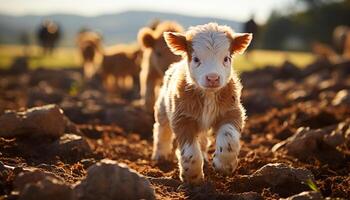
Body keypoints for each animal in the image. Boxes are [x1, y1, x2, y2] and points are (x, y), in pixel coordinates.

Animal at [152, 23, 252, 184]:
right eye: (196, 59)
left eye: (226, 58)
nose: (213, 78)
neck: (208, 94)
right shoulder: (181, 117)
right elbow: (190, 151)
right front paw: (193, 177)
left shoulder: (233, 111)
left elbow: (229, 137)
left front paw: (224, 165)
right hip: (162, 106)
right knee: (161, 129)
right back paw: (160, 155)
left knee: (203, 140)